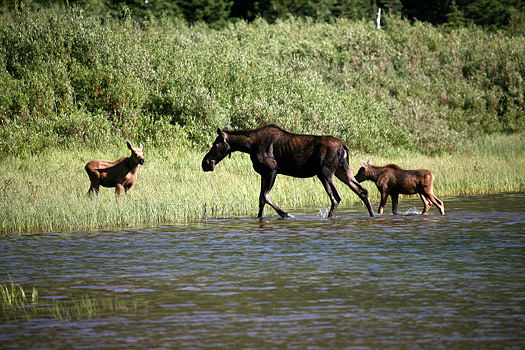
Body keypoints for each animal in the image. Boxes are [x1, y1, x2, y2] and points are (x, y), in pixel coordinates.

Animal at [200, 125, 372, 219]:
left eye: (215, 144)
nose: (205, 163)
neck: (249, 146)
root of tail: (344, 147)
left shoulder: (272, 170)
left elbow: (265, 196)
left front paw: (286, 214)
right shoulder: (263, 173)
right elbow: (260, 200)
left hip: (325, 173)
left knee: (336, 197)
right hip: (342, 171)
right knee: (362, 191)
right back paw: (372, 215)